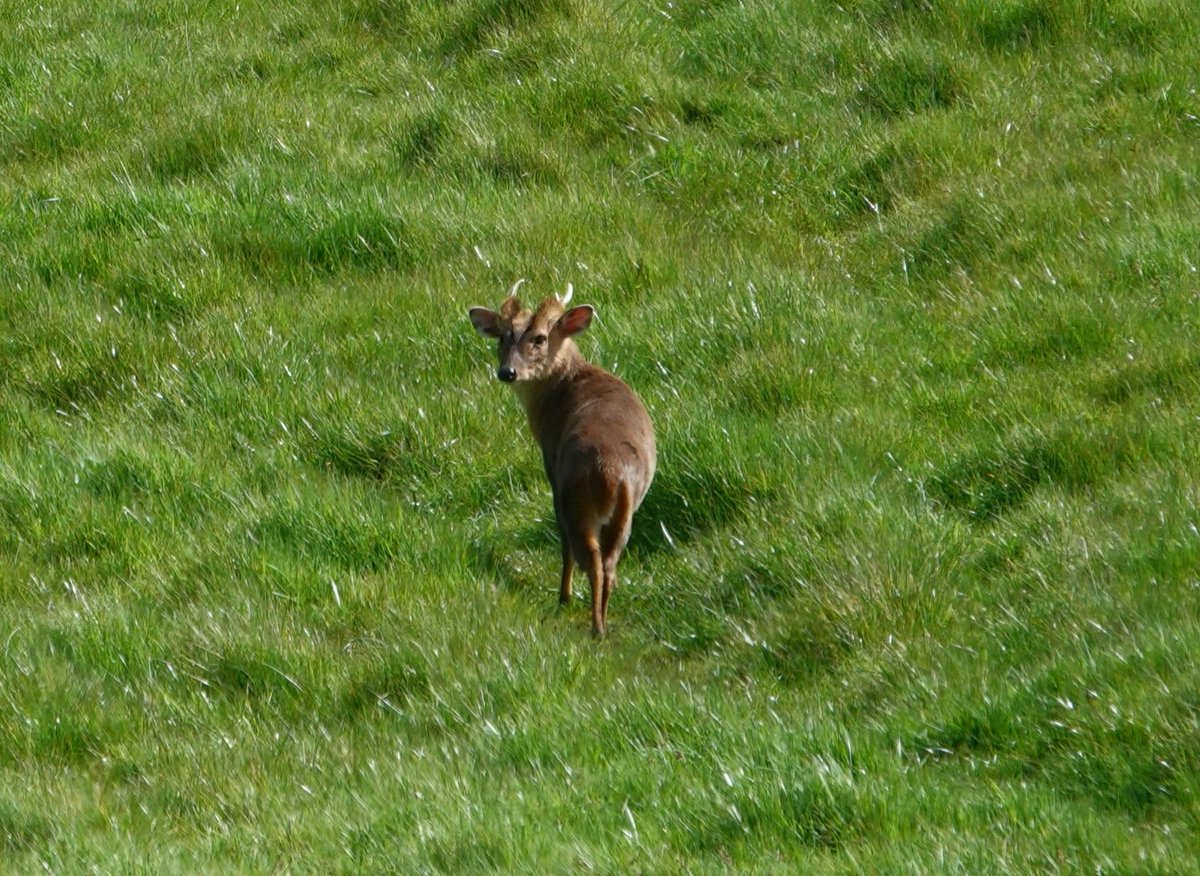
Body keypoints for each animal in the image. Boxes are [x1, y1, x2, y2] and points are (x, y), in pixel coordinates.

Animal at [468, 282, 657, 633]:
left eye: (540, 338)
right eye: (501, 336)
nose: (507, 372)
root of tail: (612, 472)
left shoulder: (551, 470)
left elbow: (562, 543)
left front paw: (564, 597)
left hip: (575, 498)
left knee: (587, 557)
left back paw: (592, 624)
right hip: (625, 513)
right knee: (610, 565)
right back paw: (602, 623)